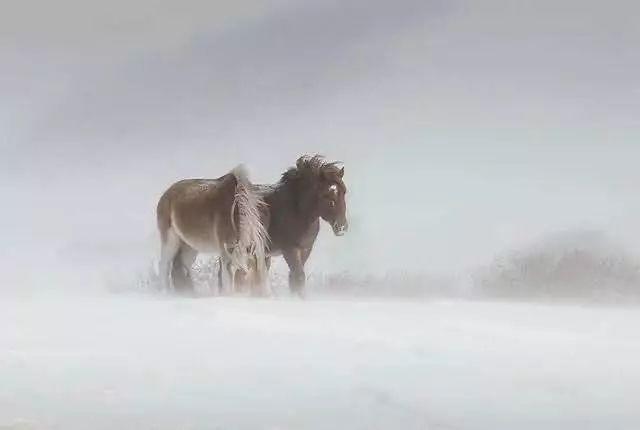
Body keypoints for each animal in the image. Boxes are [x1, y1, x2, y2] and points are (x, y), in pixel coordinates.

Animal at [156, 165, 268, 296]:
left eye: (246, 272)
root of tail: (166, 193)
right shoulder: (226, 254)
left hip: (190, 245)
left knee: (184, 265)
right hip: (170, 240)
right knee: (164, 265)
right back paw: (164, 292)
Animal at [222, 156, 348, 298]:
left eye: (344, 191)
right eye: (326, 194)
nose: (342, 227)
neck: (296, 209)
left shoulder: (305, 249)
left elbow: (294, 278)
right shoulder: (289, 250)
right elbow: (299, 276)